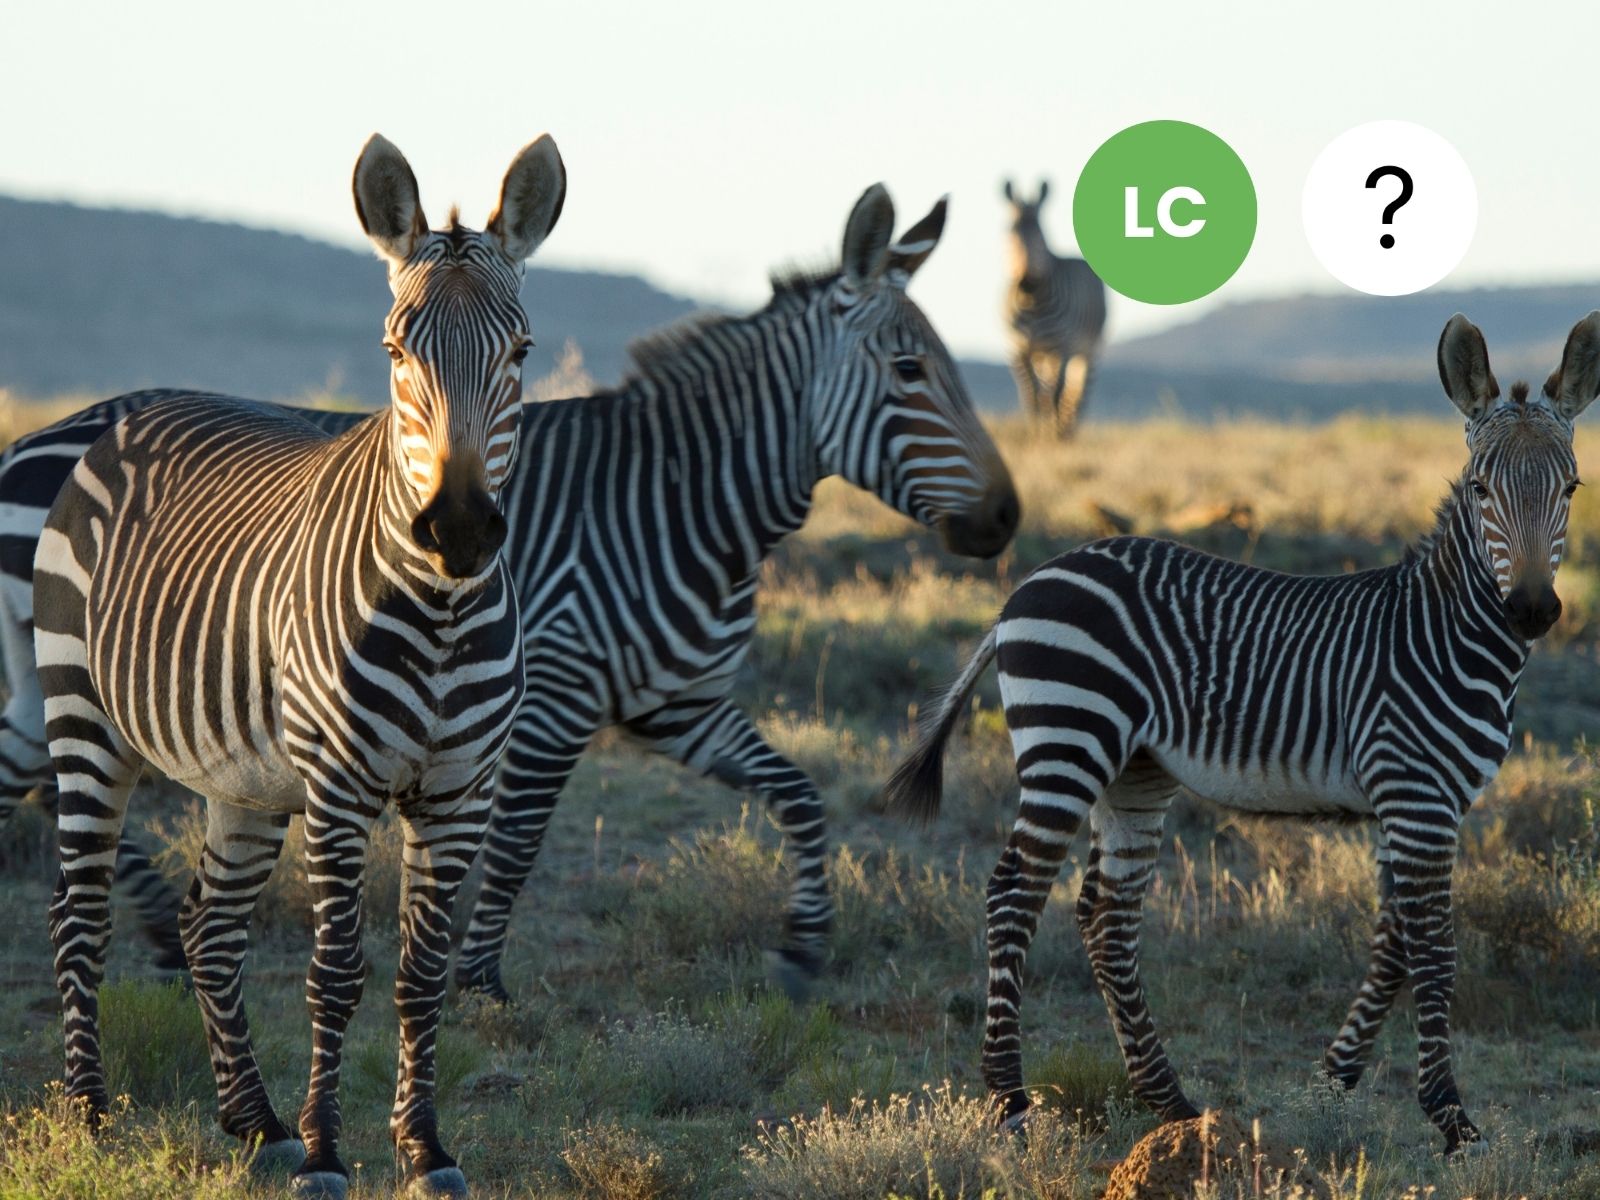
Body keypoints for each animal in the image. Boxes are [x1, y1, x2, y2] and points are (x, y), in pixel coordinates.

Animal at [0, 182, 1019, 1006]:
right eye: (911, 372)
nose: (1007, 519)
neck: (674, 500)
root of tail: (47, 437)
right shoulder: (556, 699)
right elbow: (519, 844)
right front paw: (480, 980)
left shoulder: (678, 706)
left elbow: (799, 794)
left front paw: (805, 950)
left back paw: (160, 936)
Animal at [35, 133, 565, 1200]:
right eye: (396, 353)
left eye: (522, 353)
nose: (458, 529)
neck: (440, 613)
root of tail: (128, 414)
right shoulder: (340, 787)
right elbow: (335, 974)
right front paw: (326, 1152)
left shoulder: (460, 791)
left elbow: (421, 974)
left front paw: (423, 1150)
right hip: (85, 722)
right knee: (79, 914)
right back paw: (91, 1115)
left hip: (241, 781)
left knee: (208, 928)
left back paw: (254, 1121)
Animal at [884, 311, 1600, 1153]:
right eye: (1483, 489)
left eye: (1572, 489)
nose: (1532, 609)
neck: (1443, 635)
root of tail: (1027, 585)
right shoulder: (1416, 796)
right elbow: (1434, 948)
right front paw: (1451, 1117)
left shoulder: (1419, 805)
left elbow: (1393, 942)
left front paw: (1332, 1082)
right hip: (1069, 740)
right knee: (1012, 895)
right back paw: (1011, 1104)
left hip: (1134, 771)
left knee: (1107, 917)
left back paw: (1169, 1102)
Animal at [1002, 179, 1107, 438]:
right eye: (1010, 232)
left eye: (1041, 235)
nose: (1027, 282)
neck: (1032, 302)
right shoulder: (1017, 349)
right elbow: (1031, 395)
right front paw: (1036, 432)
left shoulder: (1063, 346)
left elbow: (1058, 392)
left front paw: (1055, 436)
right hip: (1042, 353)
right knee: (1047, 389)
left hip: (1088, 349)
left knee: (1078, 391)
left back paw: (1068, 431)